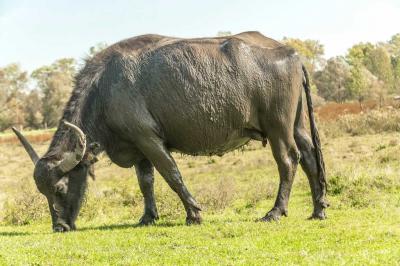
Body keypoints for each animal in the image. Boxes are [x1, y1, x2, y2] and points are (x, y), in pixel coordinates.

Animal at [12, 30, 328, 231]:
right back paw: (318, 209)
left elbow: (171, 174)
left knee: (288, 162)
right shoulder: (138, 148)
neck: (104, 89)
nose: (60, 227)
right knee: (311, 158)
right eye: (43, 192)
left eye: (60, 188)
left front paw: (194, 213)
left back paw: (275, 212)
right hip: (297, 125)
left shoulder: (149, 140)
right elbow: (146, 183)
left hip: (278, 128)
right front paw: (148, 217)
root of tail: (292, 53)